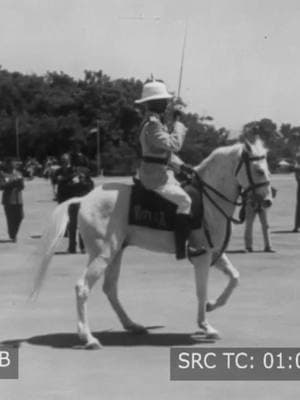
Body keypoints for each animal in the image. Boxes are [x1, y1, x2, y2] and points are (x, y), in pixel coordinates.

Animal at [32, 139, 272, 348]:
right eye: (259, 170)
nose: (268, 201)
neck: (208, 200)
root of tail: (84, 199)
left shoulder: (214, 253)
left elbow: (234, 278)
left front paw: (212, 306)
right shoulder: (202, 256)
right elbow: (201, 290)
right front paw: (206, 325)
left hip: (115, 253)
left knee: (110, 288)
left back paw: (132, 325)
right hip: (103, 254)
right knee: (82, 287)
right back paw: (88, 338)